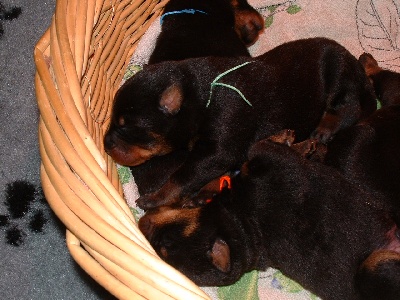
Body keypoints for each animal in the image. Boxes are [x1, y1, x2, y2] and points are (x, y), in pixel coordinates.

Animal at [104, 37, 378, 209]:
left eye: (126, 127)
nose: (105, 144)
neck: (200, 98)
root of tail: (354, 61)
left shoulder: (219, 144)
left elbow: (184, 175)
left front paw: (154, 198)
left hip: (338, 71)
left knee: (348, 105)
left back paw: (324, 128)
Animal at [138, 137, 400, 300]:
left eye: (165, 243)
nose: (141, 224)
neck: (242, 223)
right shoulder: (271, 161)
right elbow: (259, 146)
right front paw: (296, 141)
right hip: (373, 265)